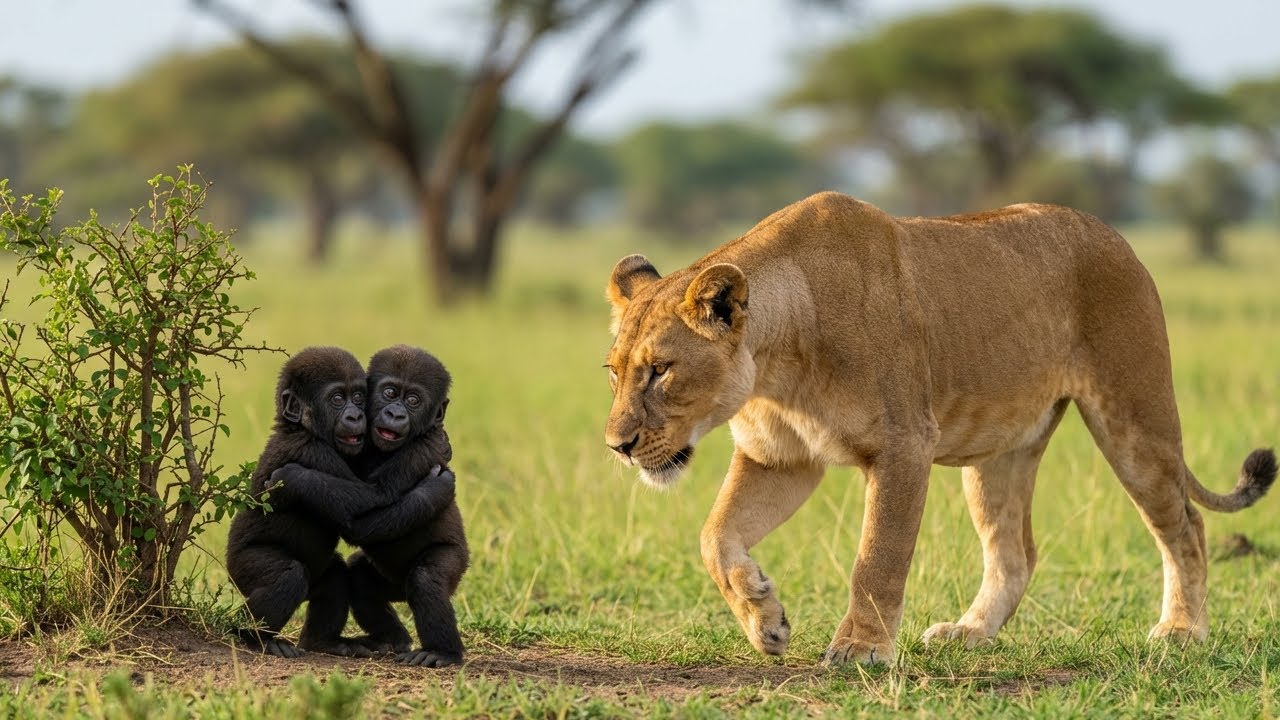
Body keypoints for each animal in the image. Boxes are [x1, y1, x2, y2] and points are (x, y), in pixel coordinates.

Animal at [602, 191, 1276, 665]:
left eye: (661, 370)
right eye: (613, 371)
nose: (618, 446)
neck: (776, 360)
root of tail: (1117, 236)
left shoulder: (905, 445)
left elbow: (878, 556)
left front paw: (861, 650)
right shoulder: (781, 459)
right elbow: (715, 537)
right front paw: (764, 619)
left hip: (1134, 417)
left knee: (1184, 523)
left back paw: (1181, 630)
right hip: (998, 452)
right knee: (1015, 552)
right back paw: (969, 633)